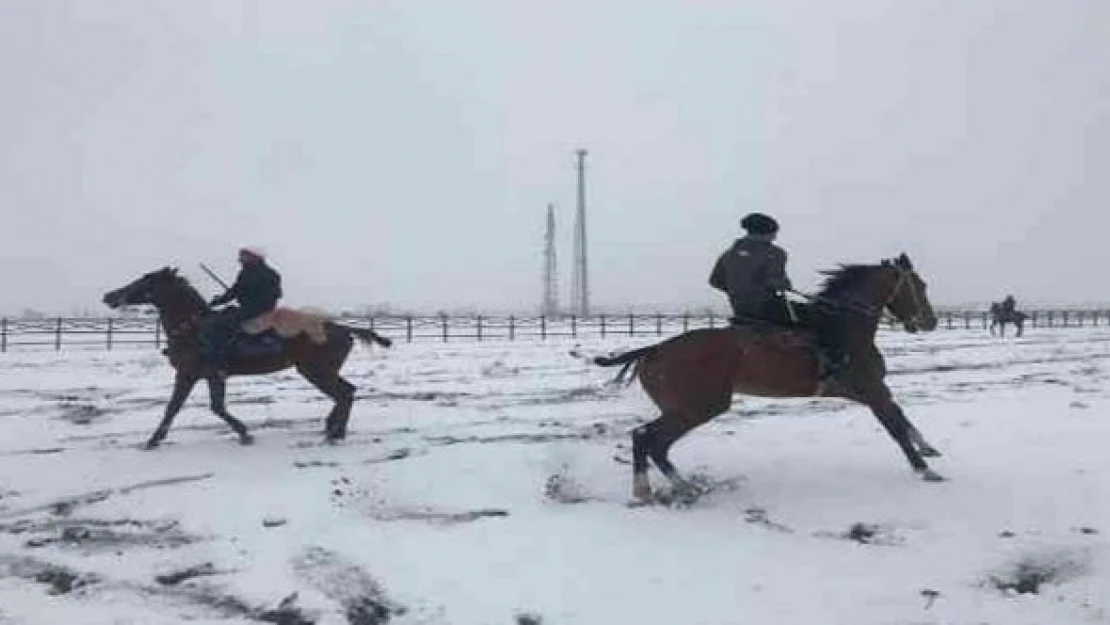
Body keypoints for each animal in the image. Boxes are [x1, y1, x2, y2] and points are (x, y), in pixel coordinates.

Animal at [101, 267, 395, 450]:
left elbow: (174, 407)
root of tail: (343, 328)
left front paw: (152, 441)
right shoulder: (212, 376)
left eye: (147, 280)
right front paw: (244, 433)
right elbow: (216, 407)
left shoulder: (187, 374)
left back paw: (336, 433)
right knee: (345, 393)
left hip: (316, 371)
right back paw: (330, 428)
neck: (193, 329)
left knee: (344, 393)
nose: (109, 296)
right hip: (316, 370)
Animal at [594, 251, 941, 501]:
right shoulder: (871, 390)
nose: (931, 321)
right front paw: (925, 469)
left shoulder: (871, 391)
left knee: (648, 440)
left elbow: (901, 418)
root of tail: (654, 349)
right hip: (698, 408)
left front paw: (928, 449)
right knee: (649, 440)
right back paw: (676, 488)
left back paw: (661, 488)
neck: (842, 328)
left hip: (686, 409)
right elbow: (895, 427)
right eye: (921, 285)